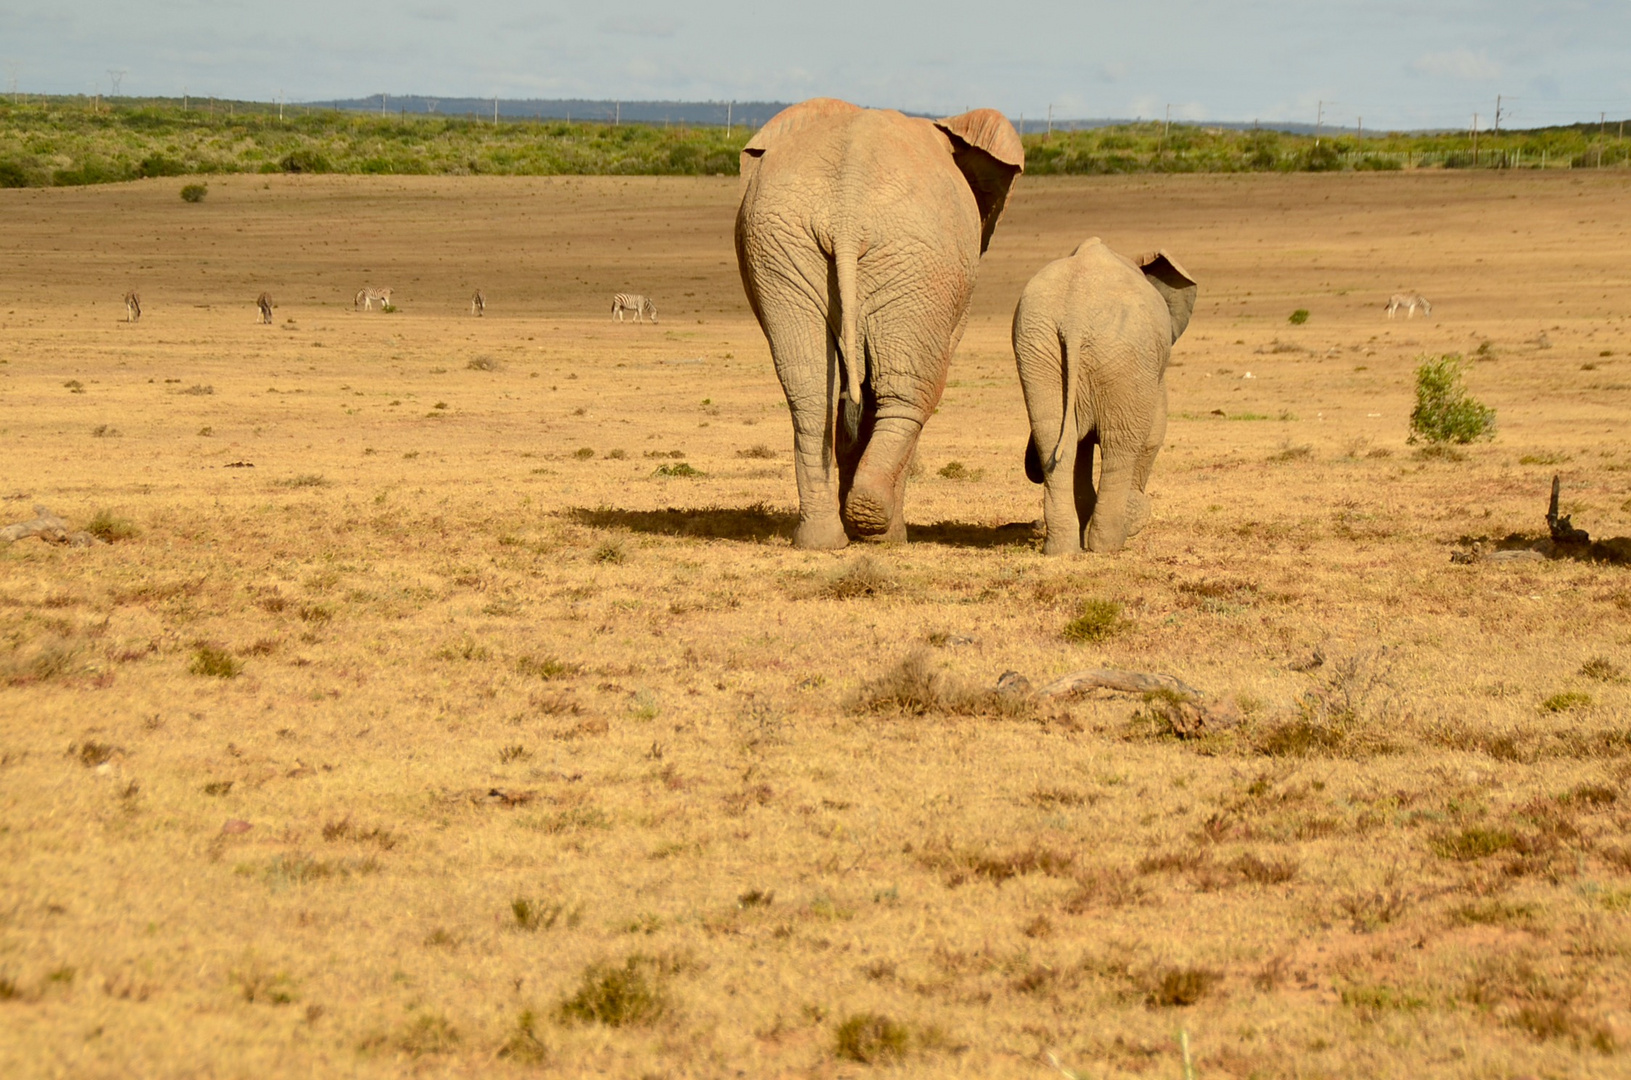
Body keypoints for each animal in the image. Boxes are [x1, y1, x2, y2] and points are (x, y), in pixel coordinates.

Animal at [737, 100, 1017, 551]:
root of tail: (848, 210)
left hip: (778, 246)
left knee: (811, 393)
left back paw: (823, 540)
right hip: (918, 260)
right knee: (909, 393)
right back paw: (881, 529)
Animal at [1004, 239, 1200, 554]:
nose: (1031, 468)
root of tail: (1074, 318)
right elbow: (1153, 436)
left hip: (1038, 348)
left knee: (1055, 437)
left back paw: (1062, 550)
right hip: (1124, 355)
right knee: (1120, 444)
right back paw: (1109, 545)